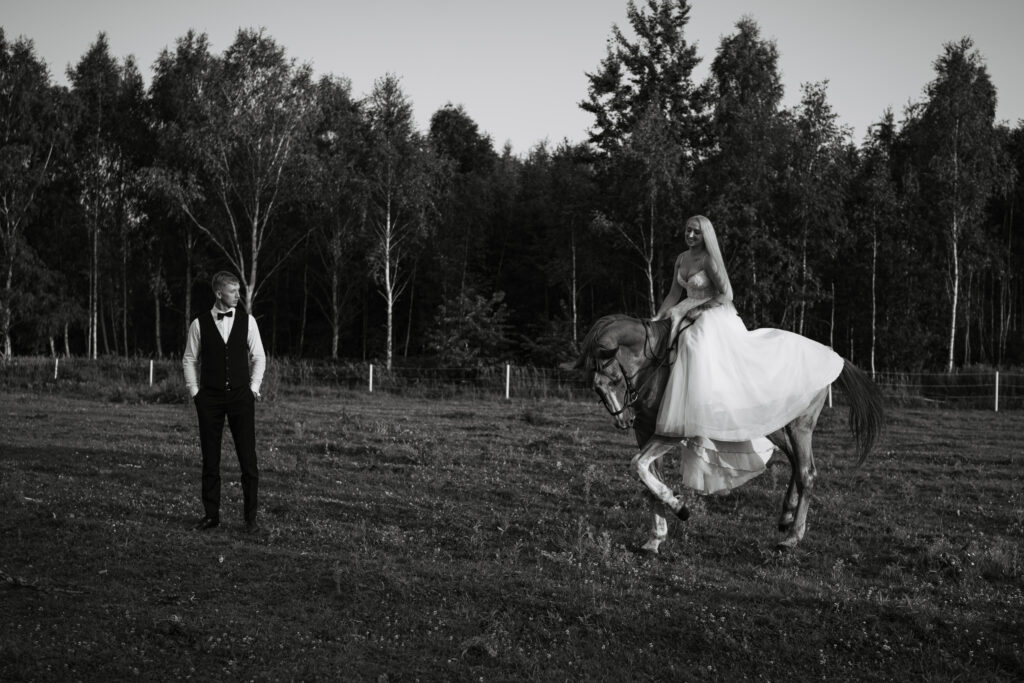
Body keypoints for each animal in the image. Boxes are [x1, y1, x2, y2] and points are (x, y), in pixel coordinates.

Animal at [574, 314, 884, 552]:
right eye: (596, 388)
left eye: (615, 379)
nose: (623, 421)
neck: (655, 365)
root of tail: (830, 354)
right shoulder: (645, 430)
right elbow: (647, 477)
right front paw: (656, 538)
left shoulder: (670, 432)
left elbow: (638, 466)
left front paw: (679, 507)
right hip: (774, 425)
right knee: (797, 463)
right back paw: (786, 516)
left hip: (800, 426)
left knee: (808, 472)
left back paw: (793, 538)